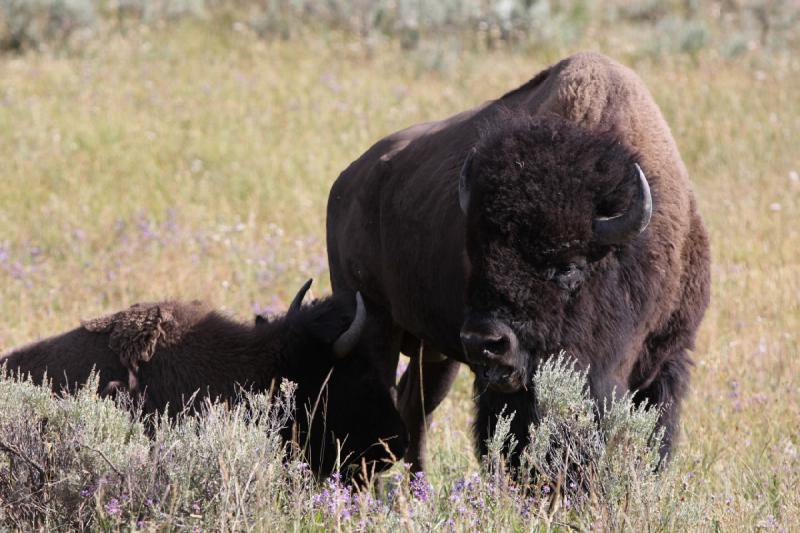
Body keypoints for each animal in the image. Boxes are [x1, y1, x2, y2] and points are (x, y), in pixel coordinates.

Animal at [326, 51, 712, 470]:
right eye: (476, 255)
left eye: (568, 266)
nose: (484, 341)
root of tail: (348, 180)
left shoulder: (668, 358)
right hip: (373, 321)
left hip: (435, 351)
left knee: (415, 406)